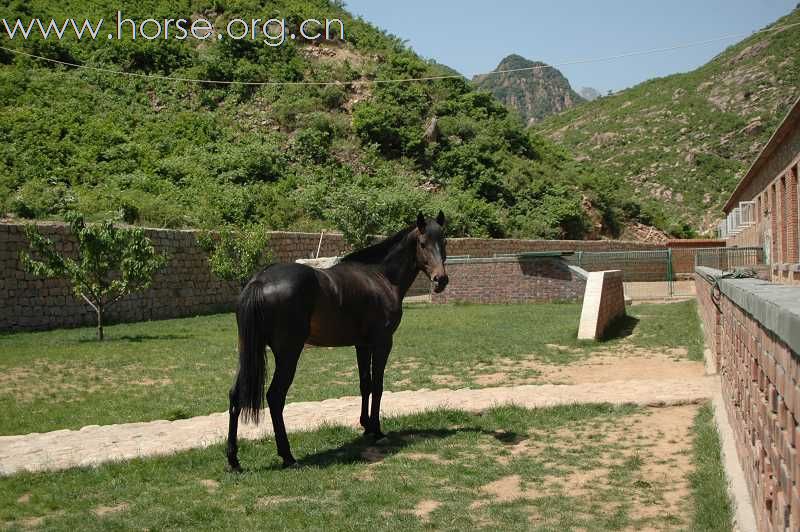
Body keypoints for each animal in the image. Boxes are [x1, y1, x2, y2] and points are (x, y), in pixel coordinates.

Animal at [228, 212, 446, 470]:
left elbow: (365, 384)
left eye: (443, 240)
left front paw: (366, 426)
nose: (441, 279)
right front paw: (377, 431)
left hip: (249, 352)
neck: (380, 277)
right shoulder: (382, 343)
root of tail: (259, 281)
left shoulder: (362, 345)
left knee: (235, 396)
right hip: (288, 353)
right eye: (422, 243)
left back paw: (233, 460)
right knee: (275, 397)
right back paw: (288, 456)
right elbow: (378, 385)